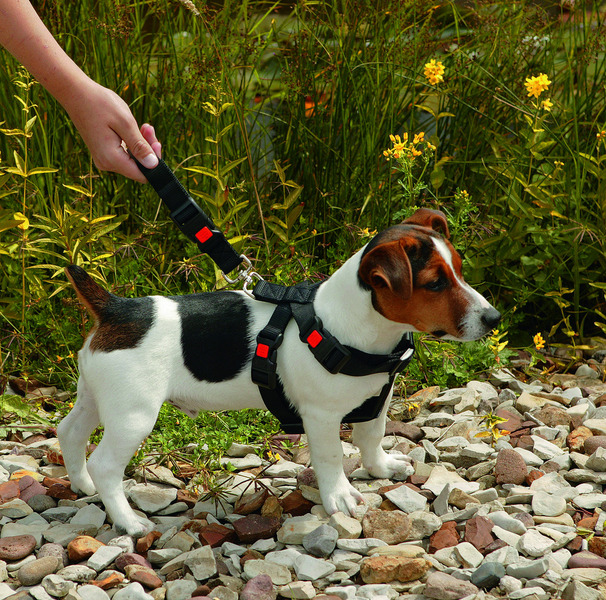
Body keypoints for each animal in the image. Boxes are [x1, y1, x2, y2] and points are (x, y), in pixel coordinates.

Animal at [58, 207, 504, 536]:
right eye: (434, 284)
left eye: (459, 269)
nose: (493, 318)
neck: (352, 327)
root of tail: (117, 309)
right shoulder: (321, 417)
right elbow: (330, 457)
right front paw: (339, 496)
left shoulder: (377, 400)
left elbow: (371, 438)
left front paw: (380, 470)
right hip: (133, 414)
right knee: (105, 465)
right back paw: (128, 521)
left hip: (97, 398)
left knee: (70, 431)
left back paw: (81, 484)